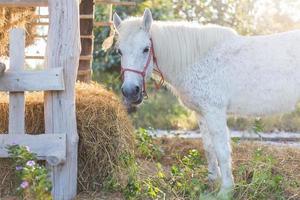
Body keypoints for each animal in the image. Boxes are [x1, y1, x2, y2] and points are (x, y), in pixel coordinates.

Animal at [112, 8, 300, 198]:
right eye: (119, 51)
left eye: (146, 49)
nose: (130, 91)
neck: (197, 59)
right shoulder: (201, 113)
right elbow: (209, 148)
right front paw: (212, 183)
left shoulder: (214, 111)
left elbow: (222, 150)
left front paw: (226, 191)